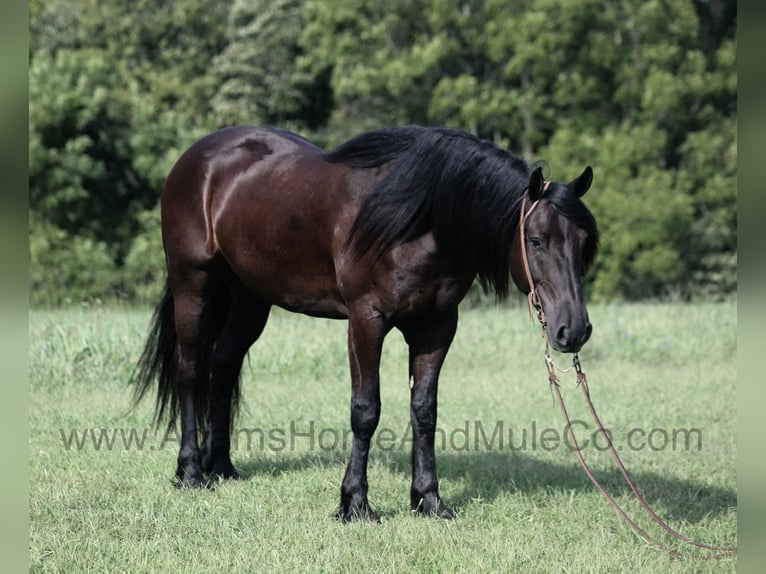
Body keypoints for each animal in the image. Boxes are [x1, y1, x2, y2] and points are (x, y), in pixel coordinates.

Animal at [131, 125, 598, 522]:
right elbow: (366, 410)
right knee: (191, 370)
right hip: (193, 283)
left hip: (249, 297)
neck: (419, 220)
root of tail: (196, 157)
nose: (573, 330)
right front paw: (354, 503)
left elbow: (424, 411)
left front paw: (428, 500)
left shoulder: (436, 327)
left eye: (583, 243)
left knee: (223, 366)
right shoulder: (365, 320)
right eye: (536, 240)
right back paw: (192, 472)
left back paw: (223, 467)